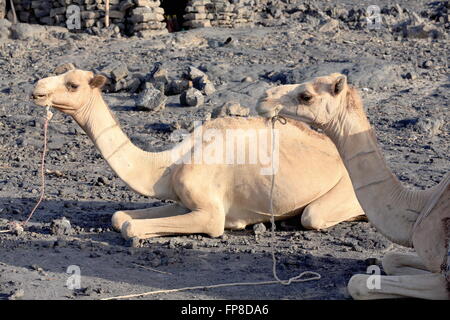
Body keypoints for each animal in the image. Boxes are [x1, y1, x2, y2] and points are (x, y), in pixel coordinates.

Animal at [29, 69, 364, 240]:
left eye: (73, 84)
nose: (37, 89)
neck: (168, 165)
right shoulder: (182, 202)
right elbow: (119, 216)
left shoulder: (210, 213)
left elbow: (130, 226)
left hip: (344, 190)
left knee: (313, 215)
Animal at [256, 72, 450, 300]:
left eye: (306, 96)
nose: (263, 98)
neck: (422, 204)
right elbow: (390, 260)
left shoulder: (445, 278)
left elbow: (357, 283)